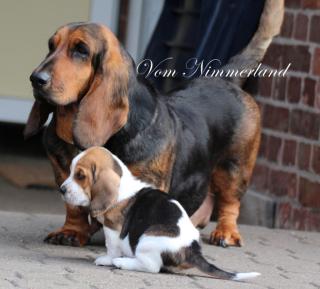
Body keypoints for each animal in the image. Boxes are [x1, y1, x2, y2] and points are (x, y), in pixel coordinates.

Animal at [25, 1, 284, 246]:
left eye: (81, 50)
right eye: (51, 45)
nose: (36, 79)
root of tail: (225, 78)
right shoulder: (63, 173)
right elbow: (74, 207)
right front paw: (72, 231)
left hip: (234, 167)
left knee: (230, 203)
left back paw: (226, 233)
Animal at [60, 147, 260, 278]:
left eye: (80, 176)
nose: (61, 190)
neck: (122, 185)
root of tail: (191, 250)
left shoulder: (112, 229)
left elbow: (112, 247)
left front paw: (108, 259)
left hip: (147, 238)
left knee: (152, 267)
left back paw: (122, 262)